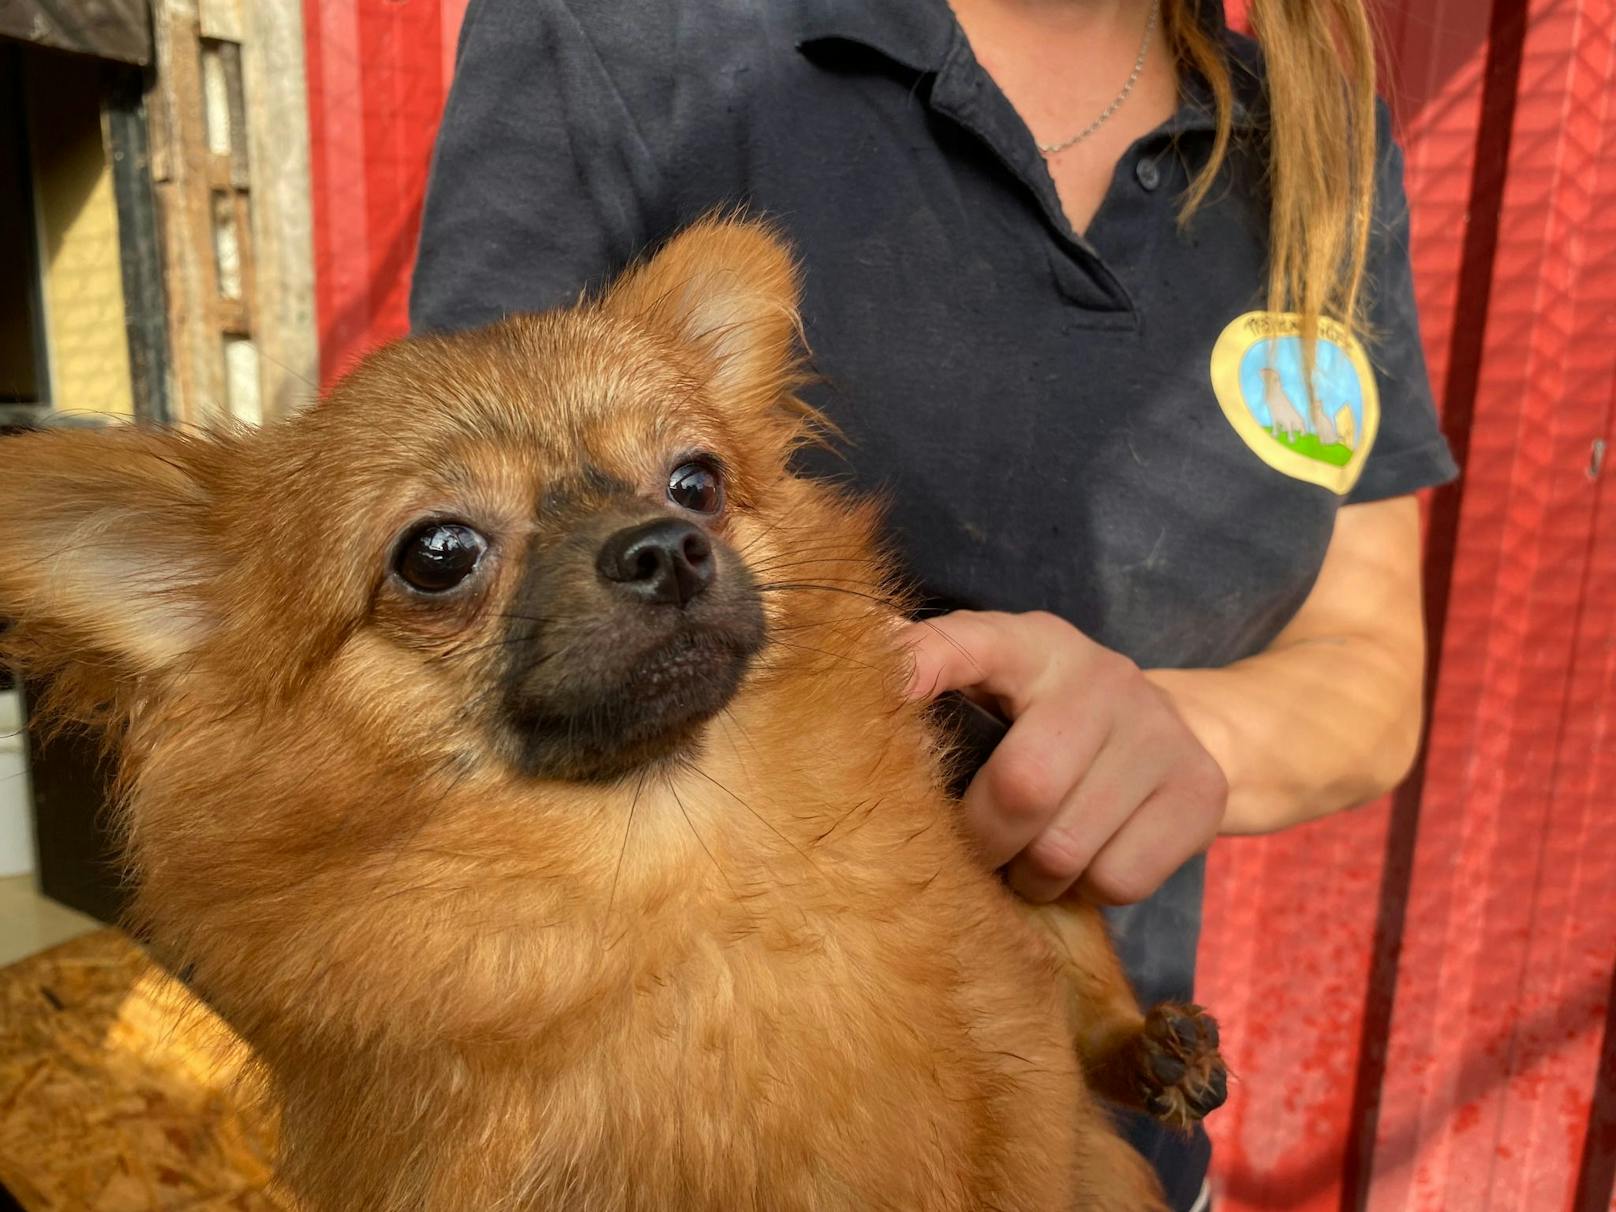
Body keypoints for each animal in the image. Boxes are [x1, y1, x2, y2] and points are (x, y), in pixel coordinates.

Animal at [0, 221, 1215, 1212]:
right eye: (436, 554)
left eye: (696, 483)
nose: (668, 547)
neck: (672, 878)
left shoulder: (1021, 1074)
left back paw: (1154, 1047)